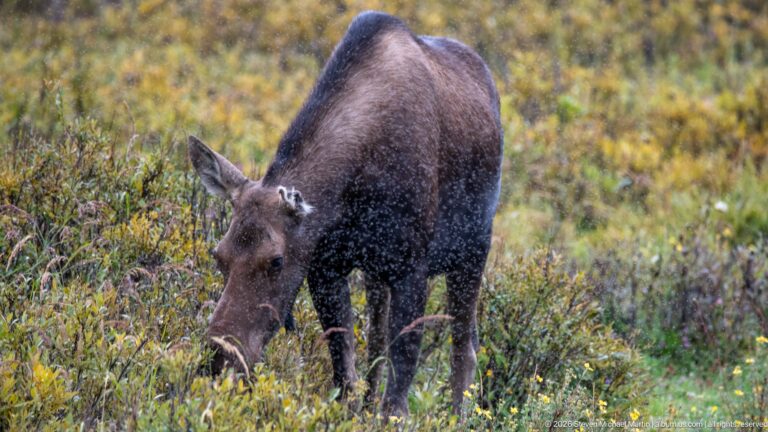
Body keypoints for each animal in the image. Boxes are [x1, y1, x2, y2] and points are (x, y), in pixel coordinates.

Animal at [189, 10, 502, 415]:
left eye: (276, 260)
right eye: (219, 255)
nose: (220, 359)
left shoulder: (411, 266)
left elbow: (402, 373)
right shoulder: (326, 266)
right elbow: (344, 363)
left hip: (472, 249)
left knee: (464, 344)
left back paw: (458, 415)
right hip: (377, 271)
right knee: (377, 339)